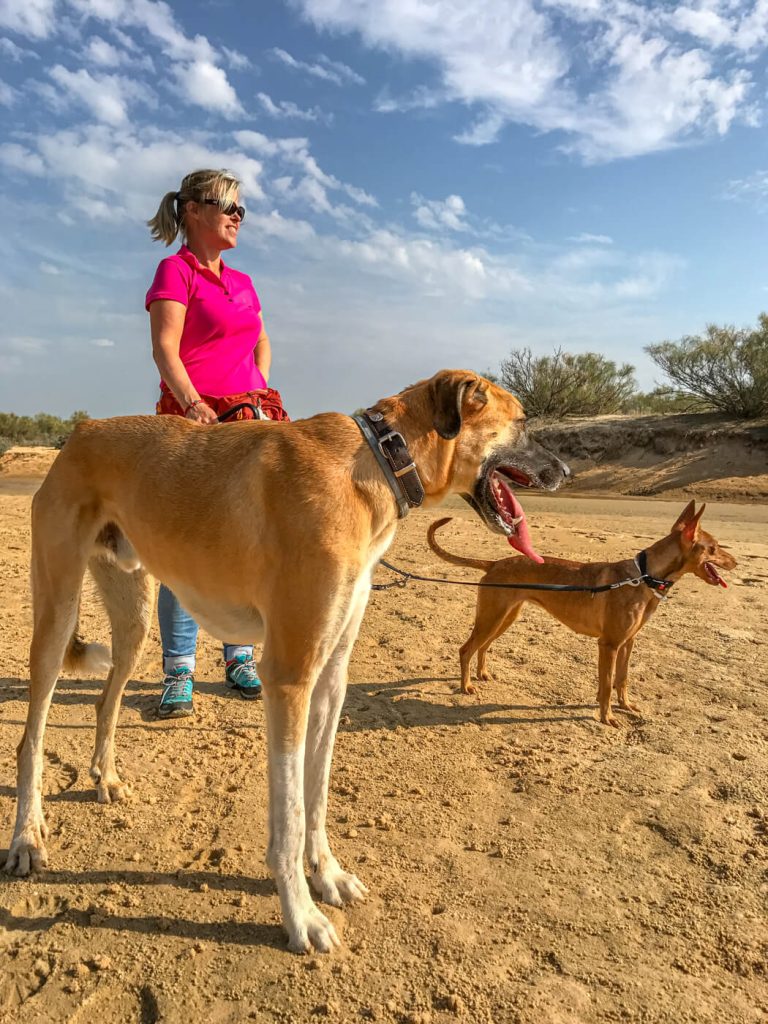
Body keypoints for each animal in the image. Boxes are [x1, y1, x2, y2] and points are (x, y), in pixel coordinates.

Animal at [6, 372, 573, 954]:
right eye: (523, 421)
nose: (565, 473)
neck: (379, 461)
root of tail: (82, 431)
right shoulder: (290, 676)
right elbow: (291, 814)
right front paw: (301, 915)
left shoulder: (330, 679)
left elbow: (316, 794)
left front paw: (328, 875)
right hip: (56, 616)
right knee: (31, 740)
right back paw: (27, 838)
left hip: (134, 616)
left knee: (105, 702)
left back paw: (107, 778)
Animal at [430, 499, 737, 724]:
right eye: (714, 548)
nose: (736, 562)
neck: (643, 576)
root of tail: (494, 563)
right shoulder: (609, 644)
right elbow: (607, 684)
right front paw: (607, 717)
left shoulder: (628, 642)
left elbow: (622, 680)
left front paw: (625, 705)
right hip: (491, 617)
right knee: (466, 649)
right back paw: (466, 686)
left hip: (505, 617)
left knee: (483, 647)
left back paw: (481, 674)